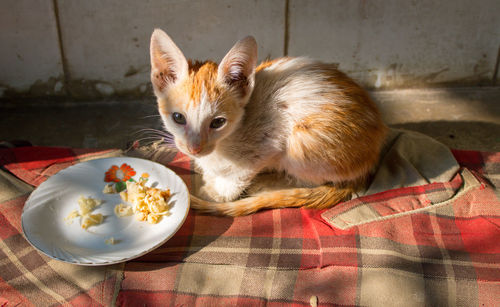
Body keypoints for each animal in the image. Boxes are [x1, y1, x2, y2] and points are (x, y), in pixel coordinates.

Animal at [150, 28, 388, 217]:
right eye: (178, 118)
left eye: (218, 122)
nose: (194, 149)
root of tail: (372, 159)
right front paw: (210, 175)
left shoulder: (268, 144)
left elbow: (238, 176)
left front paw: (218, 191)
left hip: (302, 143)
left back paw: (268, 184)